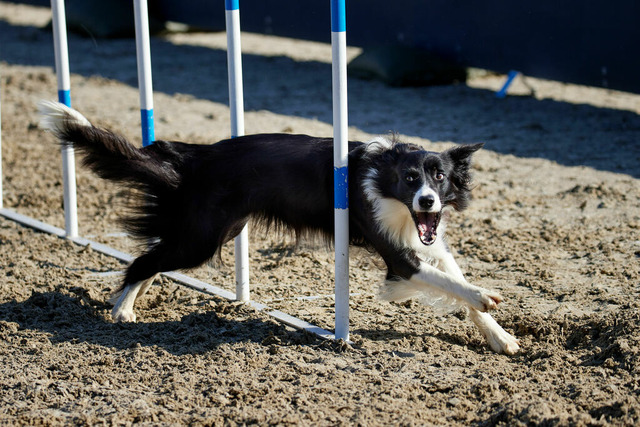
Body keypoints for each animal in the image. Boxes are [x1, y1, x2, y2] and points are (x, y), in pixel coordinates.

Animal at [38, 100, 519, 355]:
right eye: (410, 178)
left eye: (440, 177)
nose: (427, 201)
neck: (385, 184)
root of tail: (196, 157)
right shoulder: (399, 258)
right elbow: (448, 282)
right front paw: (486, 294)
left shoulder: (427, 240)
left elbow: (452, 276)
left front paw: (501, 337)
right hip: (201, 238)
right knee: (143, 259)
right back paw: (121, 310)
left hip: (214, 232)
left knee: (152, 256)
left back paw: (125, 303)